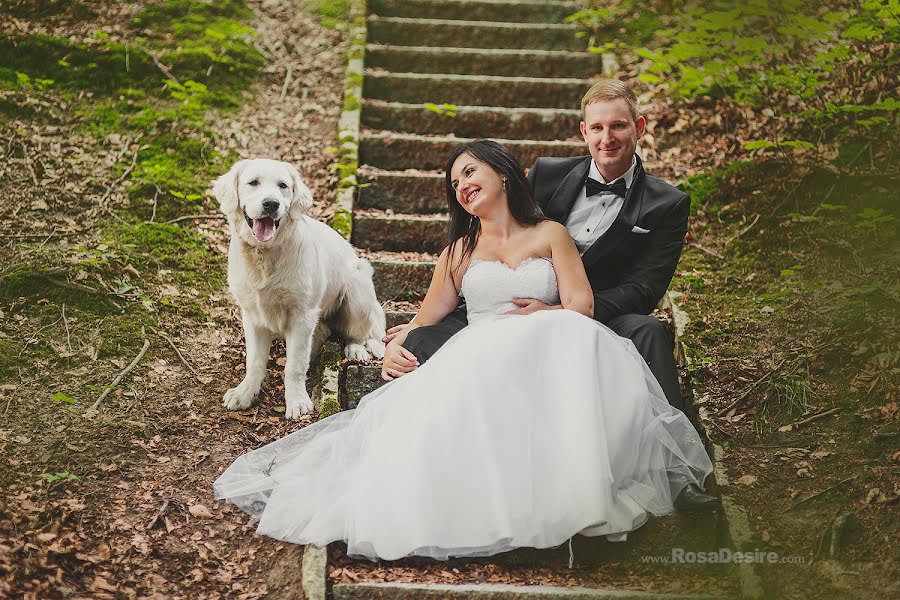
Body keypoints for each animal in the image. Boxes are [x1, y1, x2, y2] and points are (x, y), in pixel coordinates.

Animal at [213, 162, 384, 420]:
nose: (271, 204)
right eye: (253, 182)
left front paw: (297, 401)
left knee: (360, 333)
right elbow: (254, 361)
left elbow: (294, 365)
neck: (264, 255)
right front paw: (245, 394)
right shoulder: (252, 315)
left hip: (359, 290)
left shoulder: (303, 315)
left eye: (283, 185)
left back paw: (355, 349)